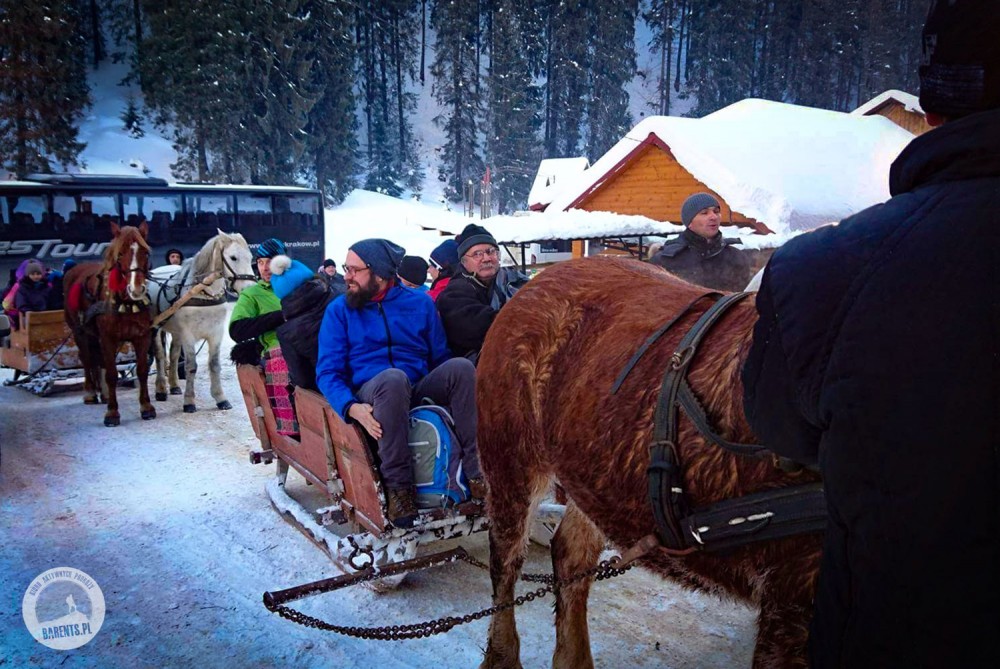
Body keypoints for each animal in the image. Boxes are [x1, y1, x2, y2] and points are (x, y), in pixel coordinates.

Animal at [64, 222, 155, 426]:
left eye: (146, 253)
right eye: (120, 254)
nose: (136, 289)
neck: (126, 303)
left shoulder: (142, 337)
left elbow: (142, 370)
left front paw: (146, 407)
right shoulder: (107, 338)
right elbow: (112, 373)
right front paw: (112, 412)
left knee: (100, 360)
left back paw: (104, 393)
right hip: (79, 332)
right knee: (87, 359)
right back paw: (91, 392)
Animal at [150, 231, 258, 412]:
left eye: (250, 257)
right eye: (233, 257)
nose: (248, 288)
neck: (202, 293)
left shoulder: (216, 333)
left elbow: (214, 365)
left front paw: (221, 398)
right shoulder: (188, 335)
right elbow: (191, 366)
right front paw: (189, 401)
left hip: (176, 332)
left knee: (173, 355)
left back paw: (174, 385)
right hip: (157, 328)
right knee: (160, 356)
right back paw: (161, 389)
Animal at [476, 258, 820, 668]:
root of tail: (536, 279)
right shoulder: (792, 598)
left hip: (591, 472)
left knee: (571, 554)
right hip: (512, 460)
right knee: (506, 565)